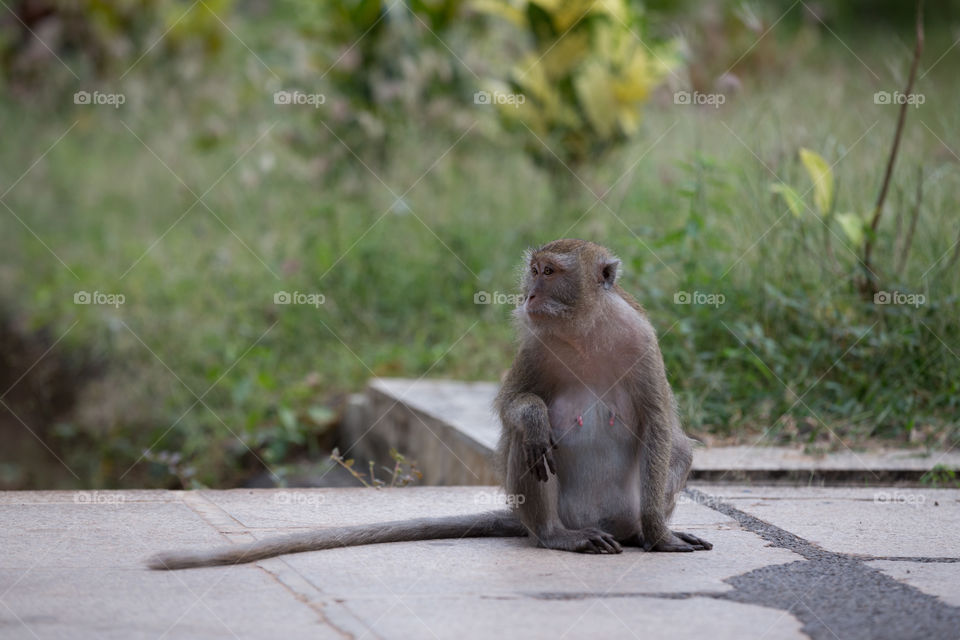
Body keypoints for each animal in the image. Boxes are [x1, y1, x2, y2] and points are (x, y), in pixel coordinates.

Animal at [146, 240, 708, 568]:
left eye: (550, 272)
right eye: (534, 270)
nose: (527, 296)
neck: (583, 333)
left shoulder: (642, 341)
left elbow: (659, 426)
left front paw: (660, 535)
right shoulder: (533, 345)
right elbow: (511, 406)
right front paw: (530, 416)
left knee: (678, 450)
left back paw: (640, 532)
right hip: (555, 512)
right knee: (527, 450)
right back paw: (554, 535)